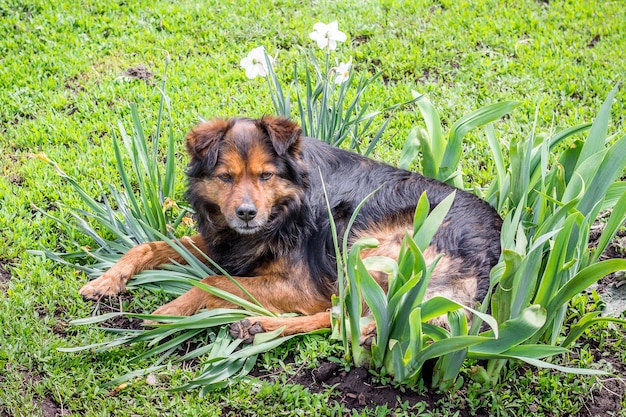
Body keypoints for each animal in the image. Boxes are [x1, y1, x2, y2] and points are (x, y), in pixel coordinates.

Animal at [78, 115, 500, 340]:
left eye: (265, 175)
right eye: (226, 177)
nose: (246, 214)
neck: (287, 209)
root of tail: (493, 250)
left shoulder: (301, 283)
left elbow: (213, 281)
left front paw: (169, 311)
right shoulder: (228, 245)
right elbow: (150, 245)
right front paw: (107, 280)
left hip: (368, 248)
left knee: (346, 316)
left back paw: (259, 325)